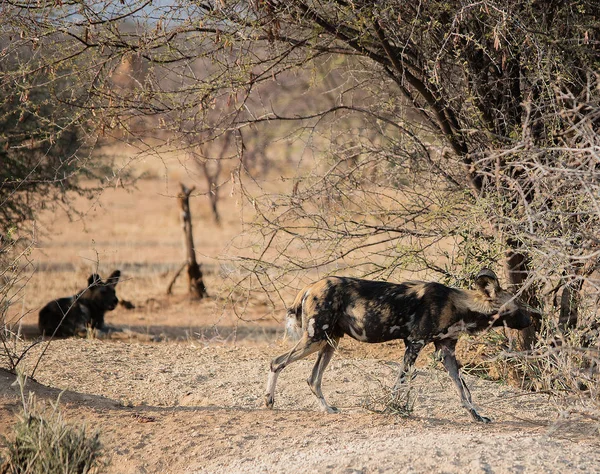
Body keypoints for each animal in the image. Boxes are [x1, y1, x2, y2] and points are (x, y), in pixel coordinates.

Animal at [264, 268, 532, 424]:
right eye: (518, 306)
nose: (532, 320)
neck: (460, 306)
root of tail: (310, 286)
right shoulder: (414, 344)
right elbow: (400, 382)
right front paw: (390, 408)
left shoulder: (446, 351)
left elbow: (464, 390)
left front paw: (476, 416)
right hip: (314, 339)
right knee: (276, 362)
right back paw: (269, 401)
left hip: (329, 341)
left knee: (313, 379)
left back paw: (327, 409)